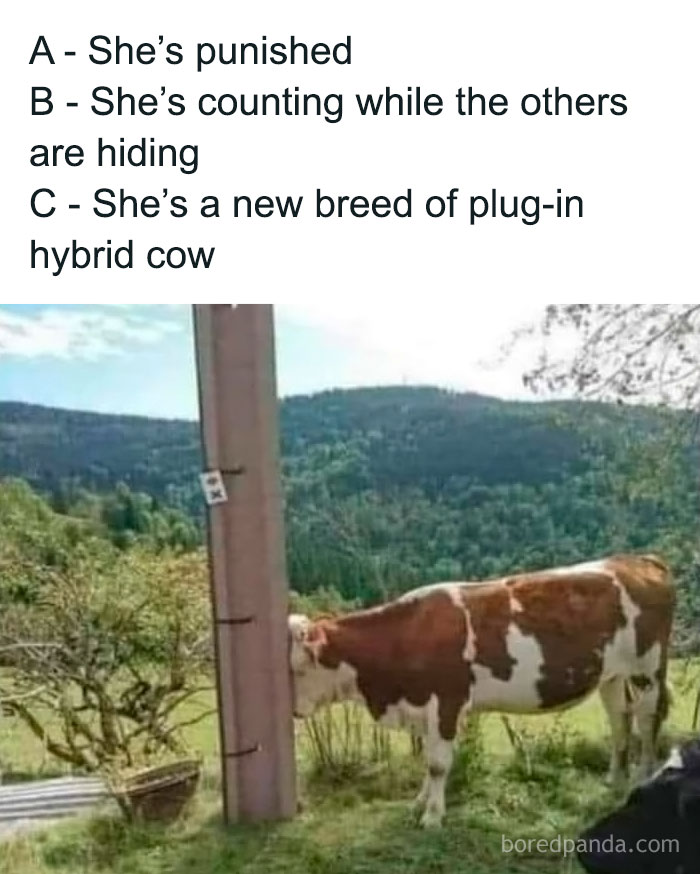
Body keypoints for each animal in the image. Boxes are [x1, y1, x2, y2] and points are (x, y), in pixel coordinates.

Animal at [288, 554, 674, 827]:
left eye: (298, 668)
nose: (291, 711)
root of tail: (639, 560)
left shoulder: (447, 701)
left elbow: (438, 764)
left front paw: (432, 817)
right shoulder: (423, 707)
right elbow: (428, 761)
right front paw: (419, 804)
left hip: (648, 670)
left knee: (647, 721)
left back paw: (640, 781)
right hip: (612, 676)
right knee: (620, 721)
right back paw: (614, 781)